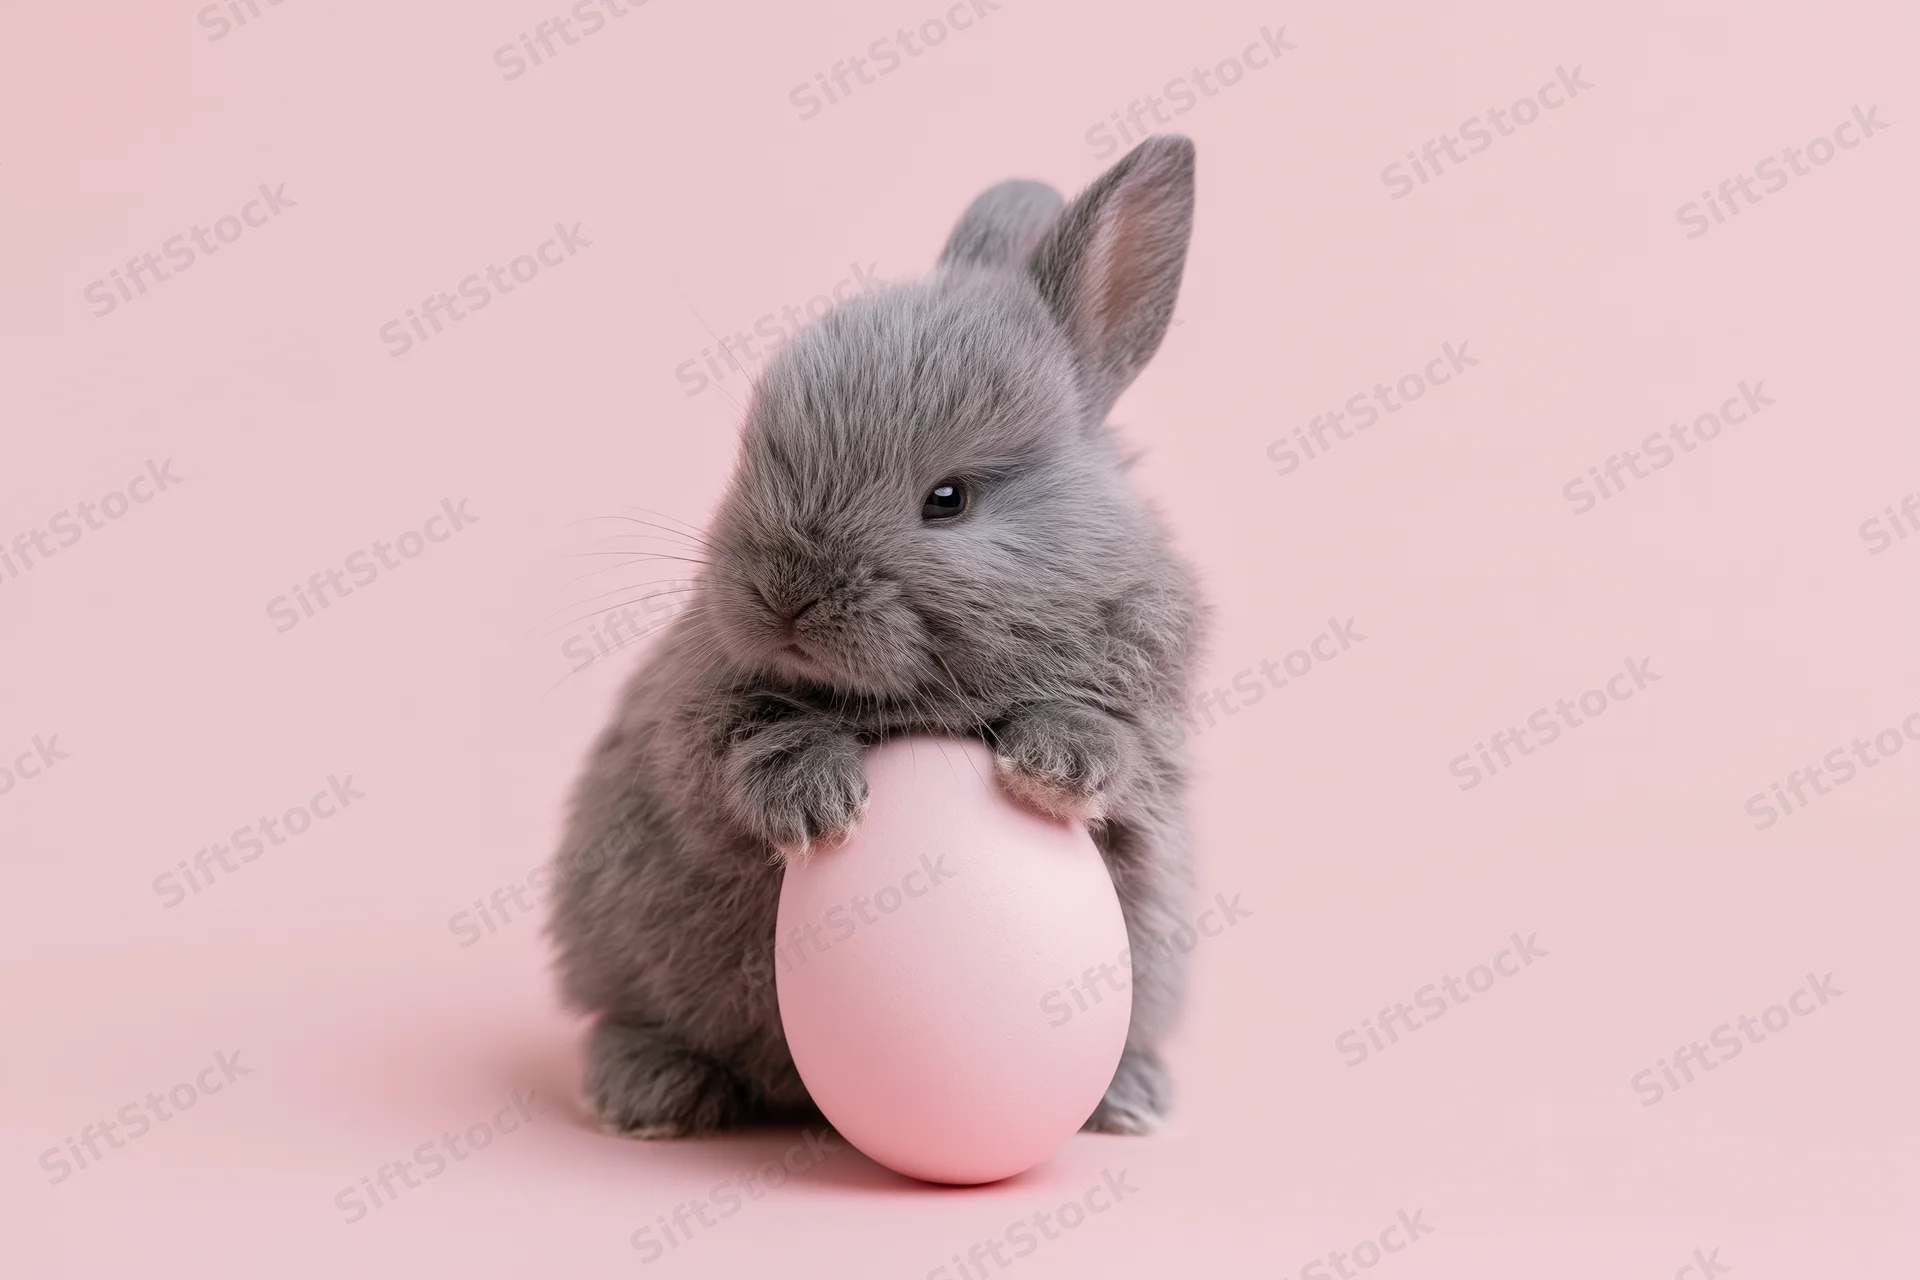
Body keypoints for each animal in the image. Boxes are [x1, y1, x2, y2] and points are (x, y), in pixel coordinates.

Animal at [546, 134, 1205, 1139]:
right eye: (753, 455)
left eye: (949, 499)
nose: (783, 596)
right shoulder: (694, 722)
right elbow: (750, 744)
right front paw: (822, 806)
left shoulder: (1147, 730)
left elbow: (1109, 746)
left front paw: (1052, 768)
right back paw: (647, 1092)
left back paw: (1131, 1098)